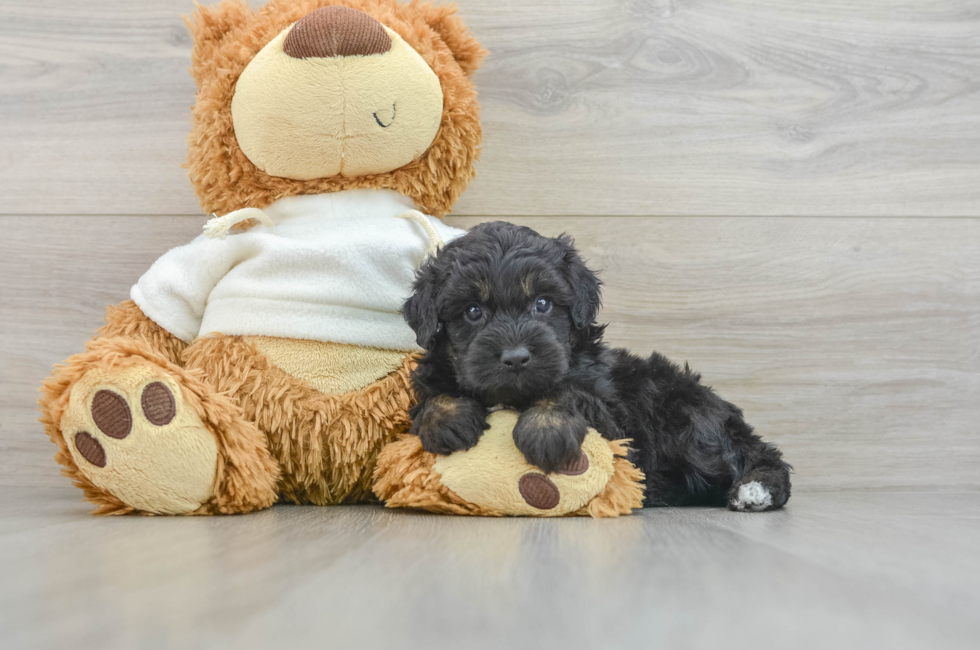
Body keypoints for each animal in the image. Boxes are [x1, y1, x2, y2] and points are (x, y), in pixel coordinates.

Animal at [402, 223, 792, 512]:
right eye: (472, 311)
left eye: (542, 303)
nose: (515, 357)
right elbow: (432, 397)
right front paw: (448, 419)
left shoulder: (609, 413)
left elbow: (567, 390)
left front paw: (546, 430)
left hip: (686, 421)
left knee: (756, 455)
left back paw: (755, 490)